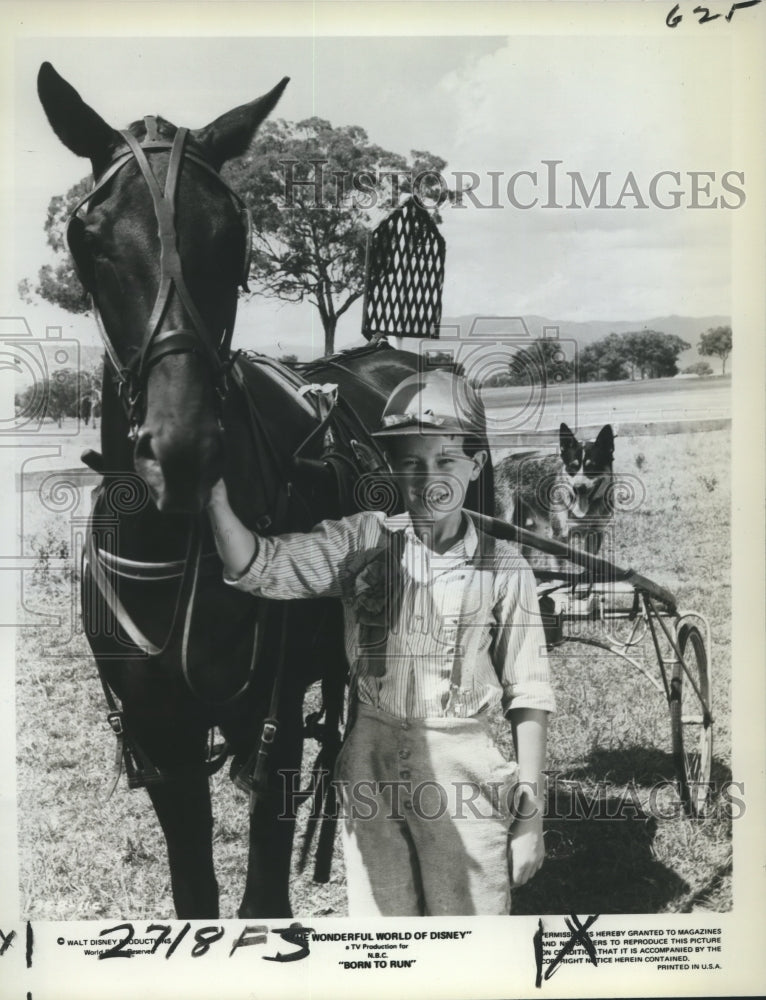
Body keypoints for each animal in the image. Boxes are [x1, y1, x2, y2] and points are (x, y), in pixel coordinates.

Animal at [39, 62, 498, 916]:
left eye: (234, 229)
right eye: (89, 235)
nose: (182, 450)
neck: (182, 544)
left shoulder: (275, 711)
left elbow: (262, 884)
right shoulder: (159, 734)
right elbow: (194, 886)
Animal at [498, 422, 616, 572]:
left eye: (593, 467)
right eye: (572, 467)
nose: (578, 488)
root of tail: (499, 464)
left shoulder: (594, 535)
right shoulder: (559, 539)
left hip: (533, 531)